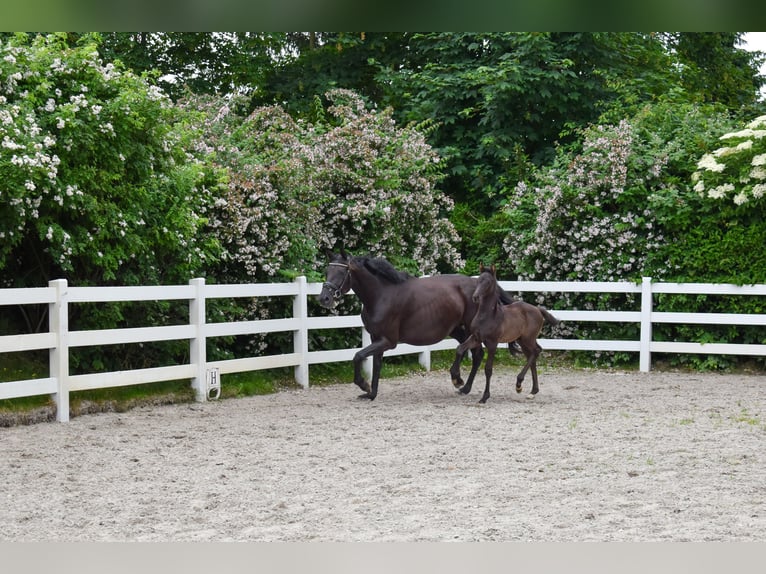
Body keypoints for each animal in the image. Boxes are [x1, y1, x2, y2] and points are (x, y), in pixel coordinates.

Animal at [318, 251, 513, 400]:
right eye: (327, 270)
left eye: (342, 271)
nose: (324, 298)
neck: (381, 295)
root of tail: (477, 283)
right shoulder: (376, 338)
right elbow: (376, 364)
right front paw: (371, 394)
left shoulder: (388, 341)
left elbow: (358, 356)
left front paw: (364, 385)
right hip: (457, 329)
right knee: (476, 354)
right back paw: (465, 388)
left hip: (472, 329)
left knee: (471, 352)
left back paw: (458, 380)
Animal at [451, 264, 560, 404]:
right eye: (478, 280)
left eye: (488, 282)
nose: (475, 297)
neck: (488, 316)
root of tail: (538, 309)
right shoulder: (476, 338)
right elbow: (460, 349)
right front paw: (456, 379)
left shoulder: (492, 343)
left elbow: (488, 369)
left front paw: (485, 397)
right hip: (522, 340)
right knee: (532, 355)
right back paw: (531, 391)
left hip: (528, 339)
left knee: (536, 351)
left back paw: (519, 383)